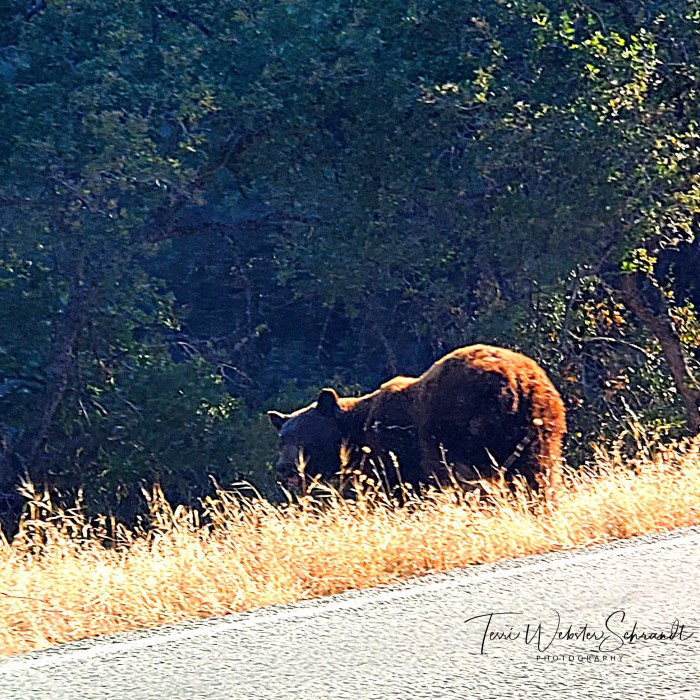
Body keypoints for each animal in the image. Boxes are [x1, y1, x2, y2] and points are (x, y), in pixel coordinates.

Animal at [267, 344, 566, 496]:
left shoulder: (394, 449)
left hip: (464, 426)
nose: (284, 467)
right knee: (540, 473)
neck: (357, 432)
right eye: (282, 439)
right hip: (541, 426)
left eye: (304, 437)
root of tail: (516, 382)